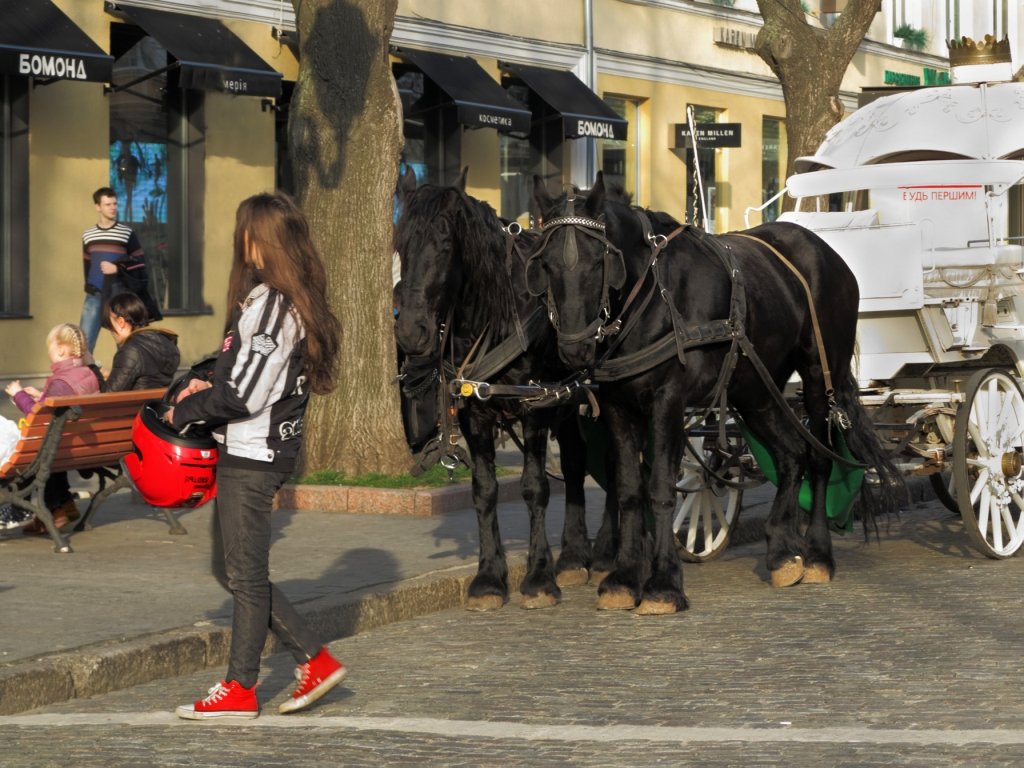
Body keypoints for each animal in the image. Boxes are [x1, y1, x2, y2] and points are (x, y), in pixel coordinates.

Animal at [393, 169, 614, 614]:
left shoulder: (534, 407)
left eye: (445, 244)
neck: (494, 318)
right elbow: (484, 490)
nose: (409, 331)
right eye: (400, 244)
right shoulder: (474, 412)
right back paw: (574, 555)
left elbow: (534, 488)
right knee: (576, 464)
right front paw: (489, 578)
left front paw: (538, 577)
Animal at [528, 171, 897, 618]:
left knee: (820, 459)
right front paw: (624, 579)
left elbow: (661, 488)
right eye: (545, 265)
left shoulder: (668, 401)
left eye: (598, 263)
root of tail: (824, 251)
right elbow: (630, 490)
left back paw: (818, 555)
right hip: (755, 389)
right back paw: (781, 552)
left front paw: (663, 584)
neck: (652, 297)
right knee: (792, 455)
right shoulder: (618, 406)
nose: (574, 349)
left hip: (818, 376)